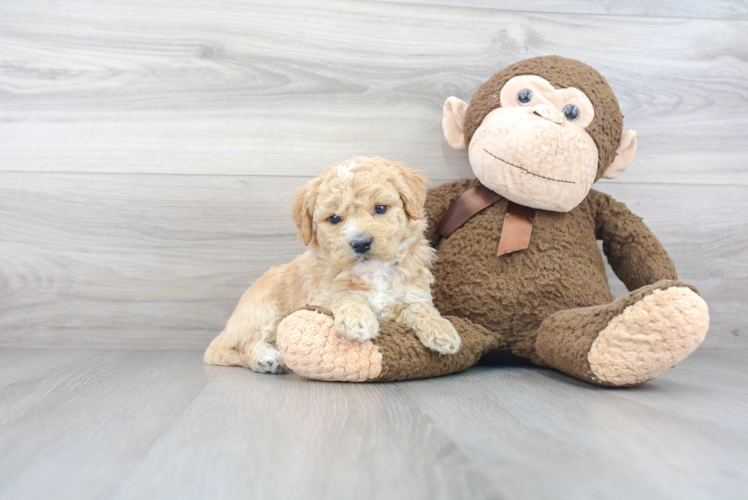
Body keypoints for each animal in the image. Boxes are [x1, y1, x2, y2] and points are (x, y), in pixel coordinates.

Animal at [205, 158, 462, 374]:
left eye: (380, 208)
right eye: (335, 218)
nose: (361, 243)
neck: (374, 273)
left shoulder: (412, 291)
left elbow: (421, 307)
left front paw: (442, 330)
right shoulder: (319, 297)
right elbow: (345, 295)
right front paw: (358, 321)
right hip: (264, 311)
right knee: (242, 346)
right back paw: (266, 358)